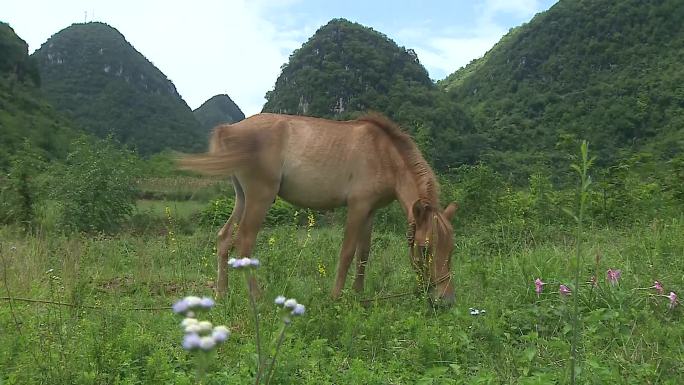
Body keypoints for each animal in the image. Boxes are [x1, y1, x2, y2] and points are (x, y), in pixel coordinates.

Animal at [180, 112, 460, 304]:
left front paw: (359, 296)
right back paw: (258, 297)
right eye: (425, 249)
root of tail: (229, 129)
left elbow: (364, 254)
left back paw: (222, 293)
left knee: (224, 238)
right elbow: (347, 253)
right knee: (244, 242)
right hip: (260, 197)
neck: (384, 154)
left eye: (451, 249)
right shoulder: (357, 207)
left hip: (242, 197)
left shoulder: (370, 211)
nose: (445, 299)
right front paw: (336, 297)